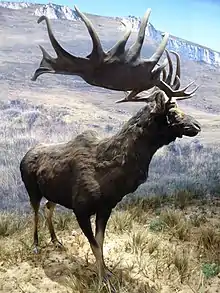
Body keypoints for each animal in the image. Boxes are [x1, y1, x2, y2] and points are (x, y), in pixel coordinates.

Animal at [19, 49, 200, 278]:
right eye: (173, 113)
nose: (197, 125)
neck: (113, 175)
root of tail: (23, 157)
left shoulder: (106, 207)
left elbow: (100, 241)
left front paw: (106, 271)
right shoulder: (81, 208)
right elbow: (94, 244)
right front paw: (102, 277)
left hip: (53, 192)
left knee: (47, 208)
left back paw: (55, 239)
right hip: (31, 187)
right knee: (34, 211)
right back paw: (35, 244)